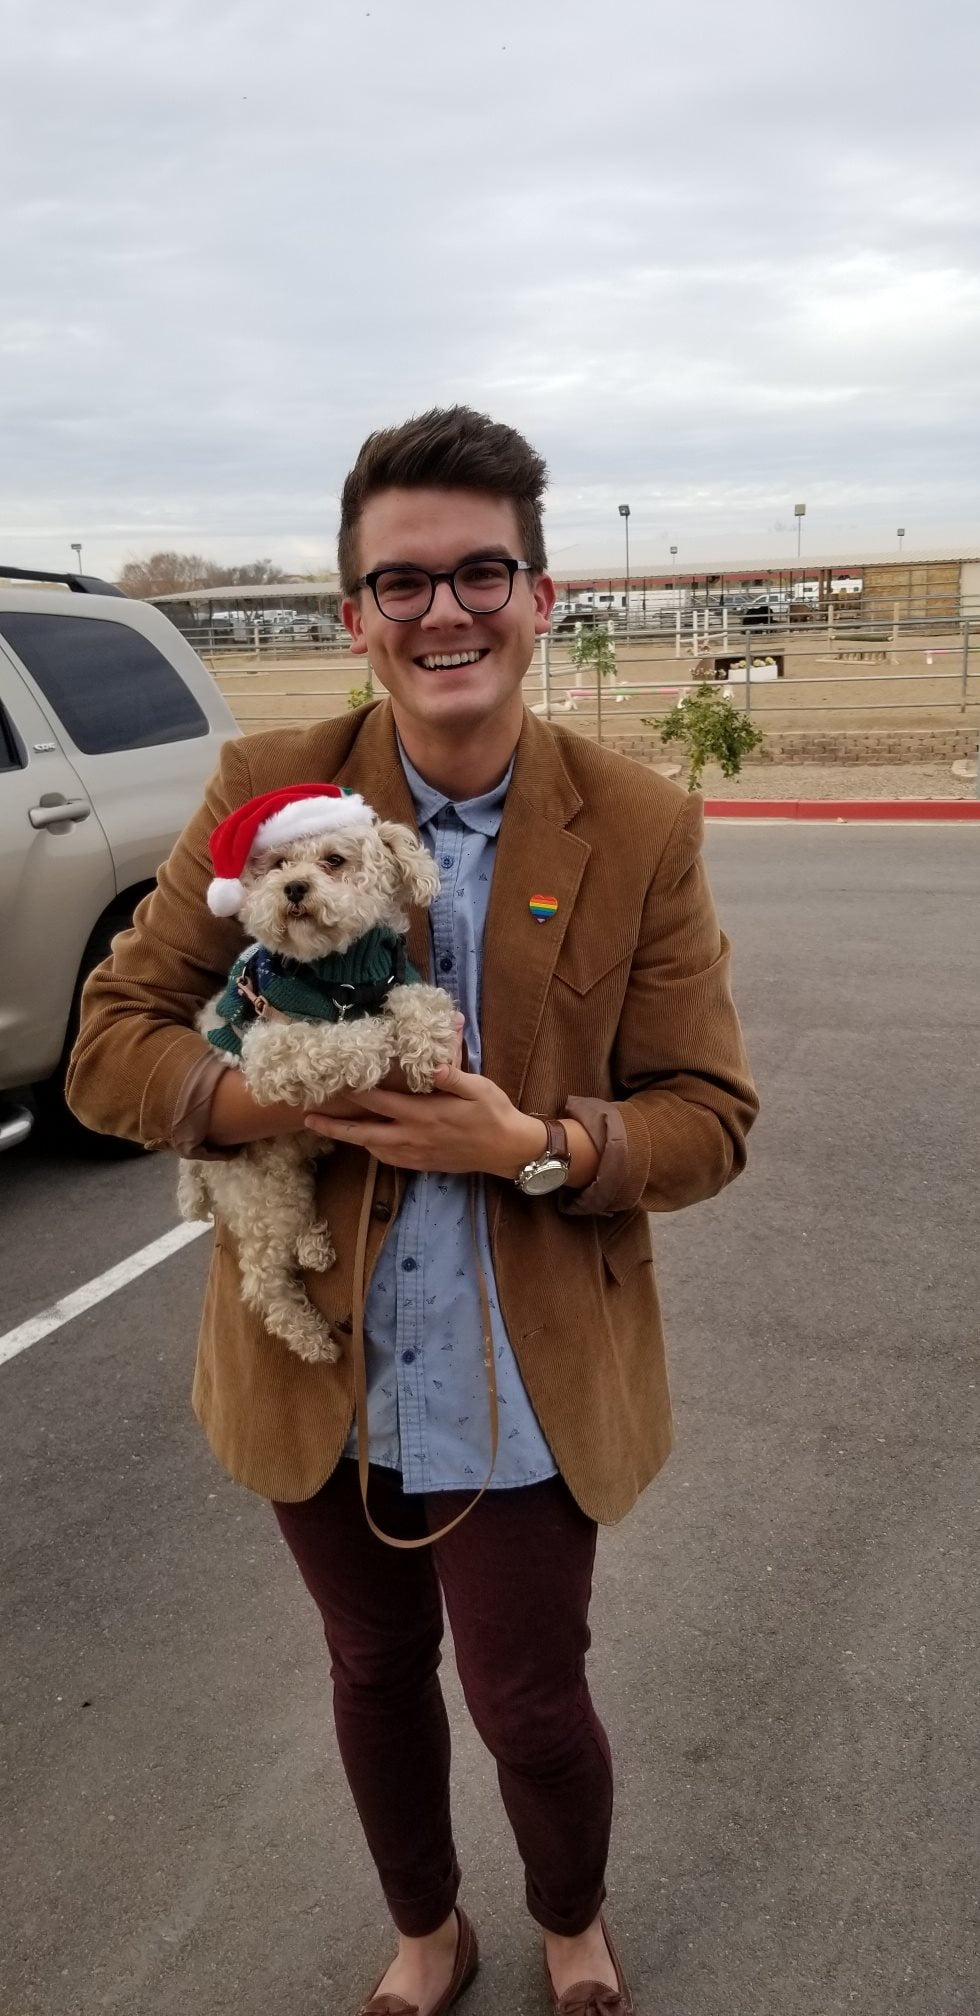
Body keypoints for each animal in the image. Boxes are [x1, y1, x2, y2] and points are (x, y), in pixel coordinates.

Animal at [177, 786, 458, 1365]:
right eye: (279, 864)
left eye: (334, 860)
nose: (294, 887)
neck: (342, 975)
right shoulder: (270, 1047)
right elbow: (335, 1042)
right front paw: (380, 1040)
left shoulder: (399, 978)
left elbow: (422, 999)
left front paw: (424, 1043)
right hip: (258, 1190)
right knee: (263, 1278)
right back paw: (311, 1338)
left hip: (284, 1177)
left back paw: (314, 1246)